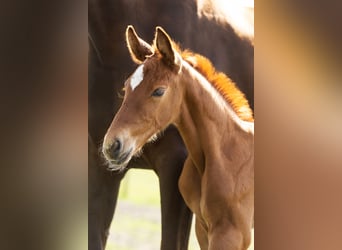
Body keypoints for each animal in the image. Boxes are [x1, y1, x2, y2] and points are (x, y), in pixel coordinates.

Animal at [89, 0, 254, 249]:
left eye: (159, 91)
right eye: (126, 87)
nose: (112, 145)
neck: (226, 150)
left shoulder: (232, 232)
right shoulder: (204, 229)